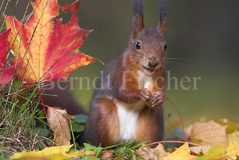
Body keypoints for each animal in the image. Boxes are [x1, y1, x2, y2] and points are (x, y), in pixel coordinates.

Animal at [81, 0, 168, 146]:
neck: (144, 72)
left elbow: (156, 93)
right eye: (137, 45)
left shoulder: (160, 73)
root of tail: (125, 140)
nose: (153, 62)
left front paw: (161, 96)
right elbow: (122, 91)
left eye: (165, 46)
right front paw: (141, 93)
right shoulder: (122, 69)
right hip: (102, 113)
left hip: (152, 121)